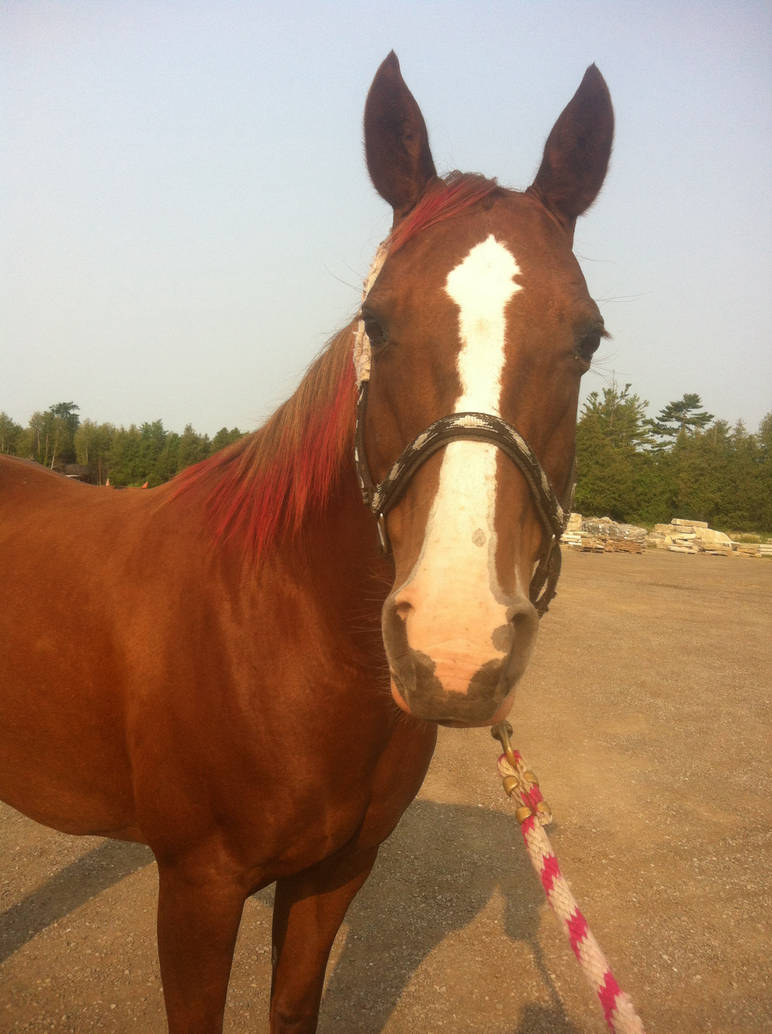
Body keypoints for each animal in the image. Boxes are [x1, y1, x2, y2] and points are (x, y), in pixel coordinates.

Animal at [0, 52, 613, 1033]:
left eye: (587, 337)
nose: (454, 645)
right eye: (377, 321)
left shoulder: (335, 874)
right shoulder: (200, 888)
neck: (280, 638)